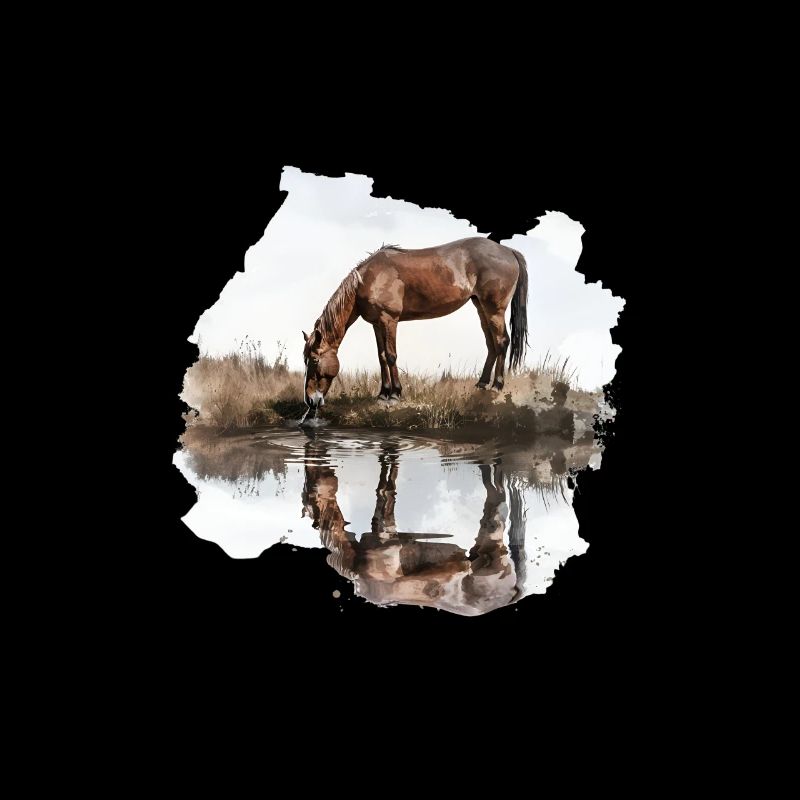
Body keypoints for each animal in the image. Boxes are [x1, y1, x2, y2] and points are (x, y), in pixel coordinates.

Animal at [301, 237, 528, 415]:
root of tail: (509, 251)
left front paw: (395, 394)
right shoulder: (376, 324)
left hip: (495, 310)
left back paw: (497, 387)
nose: (311, 400)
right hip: (480, 307)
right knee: (491, 344)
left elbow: (391, 356)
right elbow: (381, 357)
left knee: (502, 342)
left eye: (314, 359)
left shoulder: (389, 320)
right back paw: (481, 385)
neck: (368, 279)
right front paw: (382, 394)